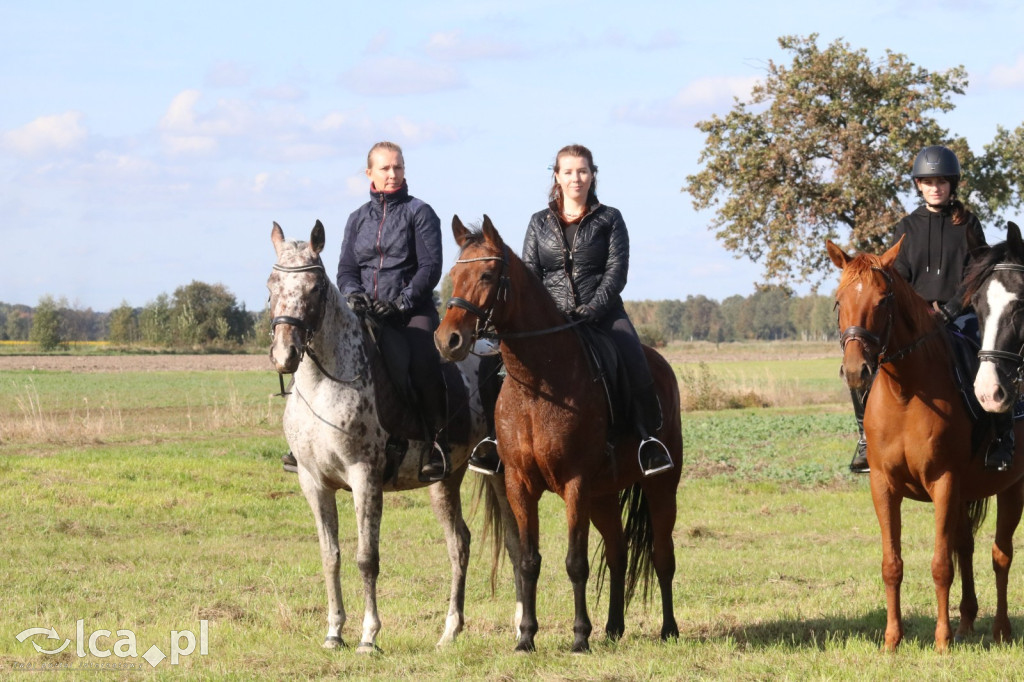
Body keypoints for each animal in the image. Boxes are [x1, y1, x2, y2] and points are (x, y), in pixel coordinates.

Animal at [432, 215, 679, 651]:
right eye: (454, 274)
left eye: (486, 274)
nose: (448, 340)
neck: (539, 383)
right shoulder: (519, 484)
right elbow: (529, 561)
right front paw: (526, 638)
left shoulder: (575, 484)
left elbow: (575, 563)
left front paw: (579, 637)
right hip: (603, 495)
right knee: (618, 552)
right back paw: (613, 628)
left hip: (660, 486)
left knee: (662, 555)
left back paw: (668, 629)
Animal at [827, 237, 1024, 647]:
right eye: (839, 300)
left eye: (883, 299)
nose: (856, 370)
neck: (905, 394)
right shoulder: (883, 487)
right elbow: (892, 564)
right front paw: (892, 639)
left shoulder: (944, 483)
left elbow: (940, 565)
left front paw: (942, 641)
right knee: (966, 547)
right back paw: (966, 622)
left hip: (1012, 487)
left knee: (1001, 554)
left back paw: (999, 630)